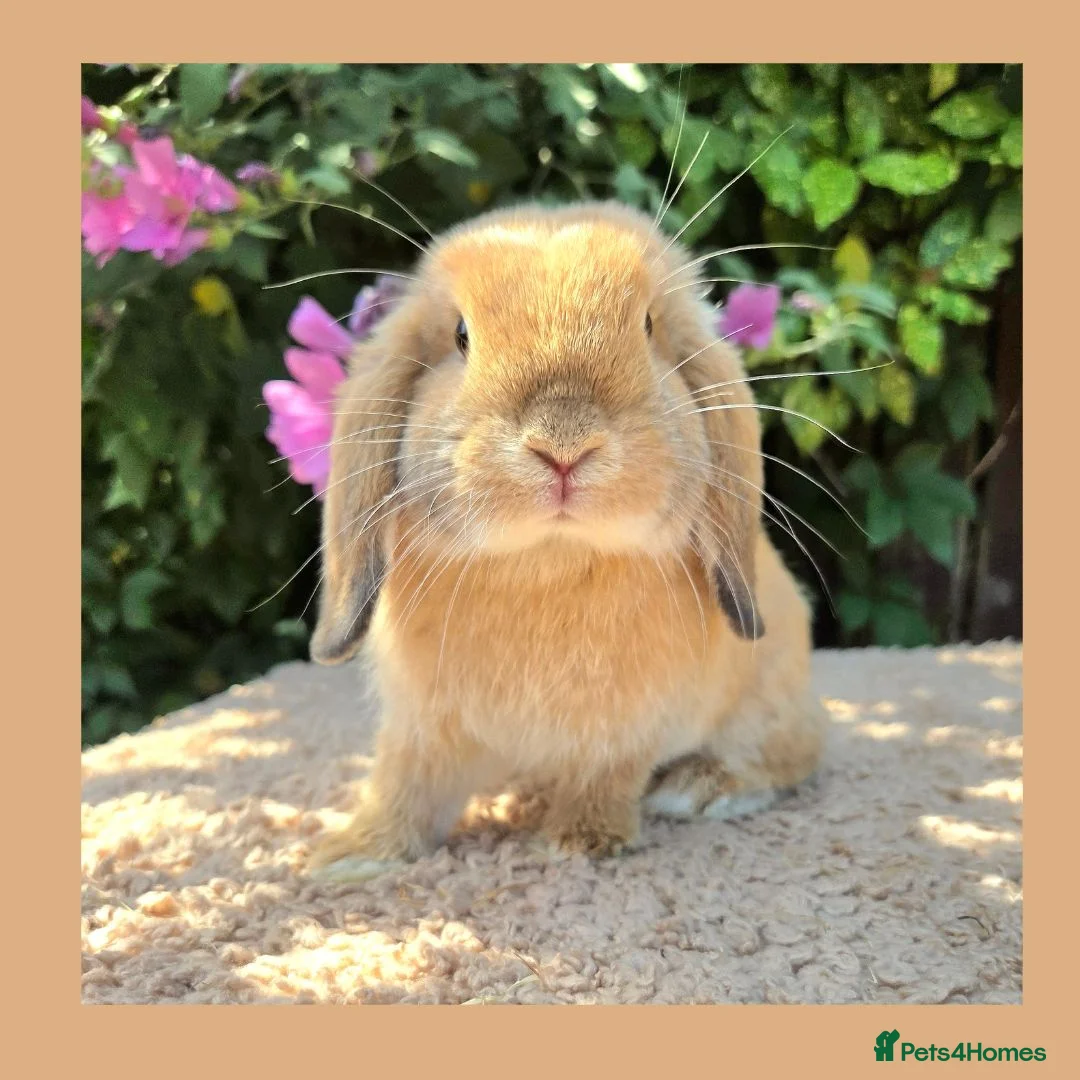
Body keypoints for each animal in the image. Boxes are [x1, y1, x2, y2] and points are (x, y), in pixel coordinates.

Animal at [305, 200, 825, 879]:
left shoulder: (623, 734)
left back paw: (699, 789)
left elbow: (603, 779)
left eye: (649, 324)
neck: (548, 560)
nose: (563, 444)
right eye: (461, 336)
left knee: (793, 754)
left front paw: (581, 843)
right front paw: (352, 855)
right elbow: (404, 786)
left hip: (770, 698)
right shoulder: (422, 727)